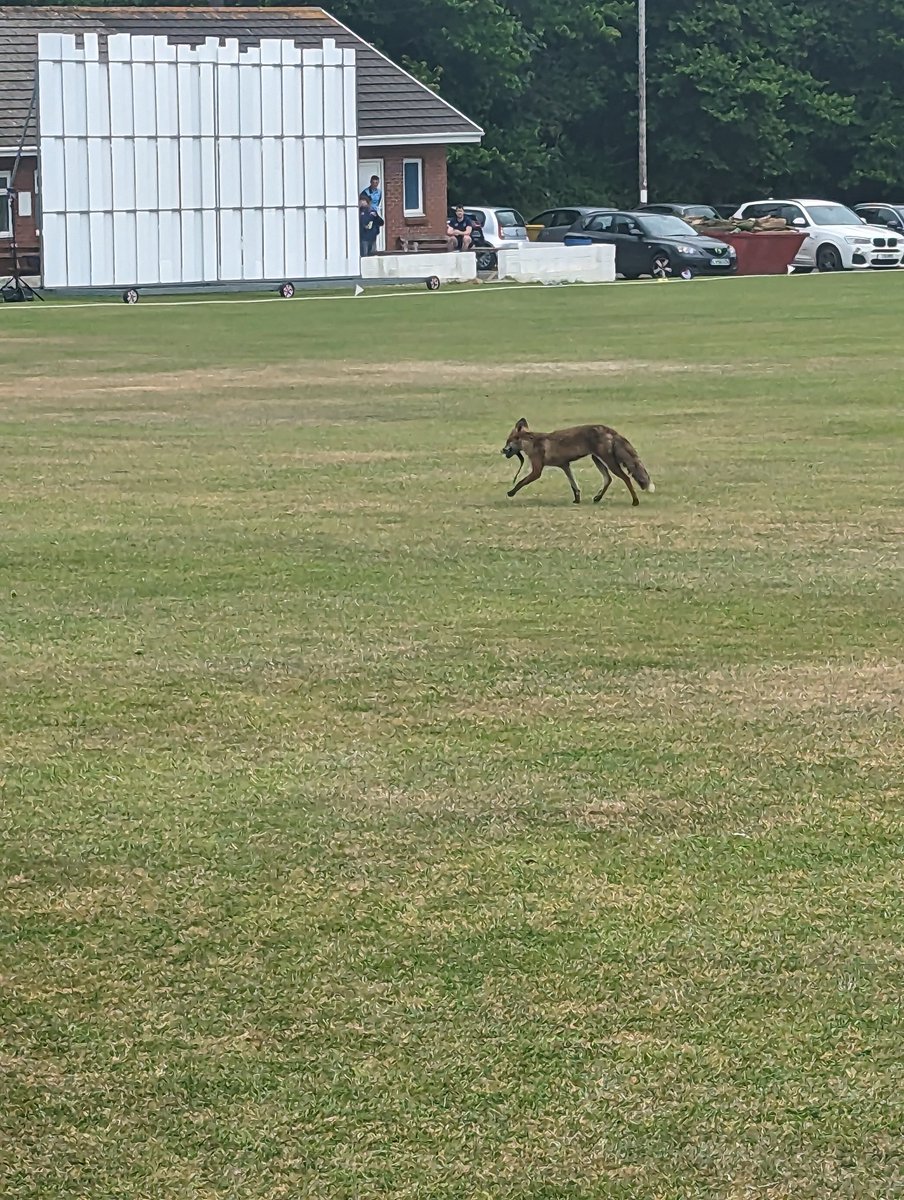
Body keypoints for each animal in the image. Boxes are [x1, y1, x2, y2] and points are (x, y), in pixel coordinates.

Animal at [501, 417, 655, 506]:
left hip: (608, 462)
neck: (531, 443)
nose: (502, 450)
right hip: (597, 459)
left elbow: (521, 482)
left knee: (626, 478)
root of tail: (610, 430)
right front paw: (577, 499)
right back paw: (597, 498)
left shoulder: (537, 470)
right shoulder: (565, 465)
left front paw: (511, 493)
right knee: (608, 479)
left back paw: (635, 501)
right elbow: (574, 485)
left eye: (508, 441)